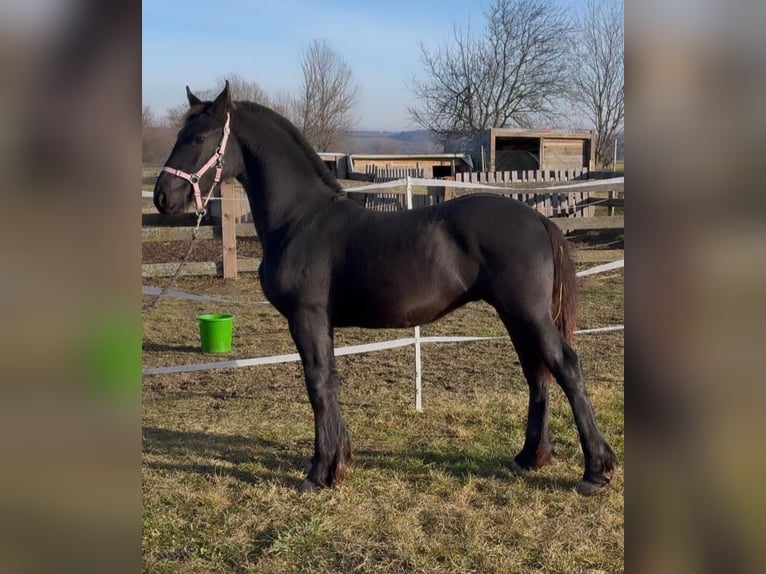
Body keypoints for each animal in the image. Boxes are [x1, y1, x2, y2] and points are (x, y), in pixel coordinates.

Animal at [153, 82, 617, 495]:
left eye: (198, 138)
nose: (162, 197)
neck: (301, 220)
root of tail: (537, 218)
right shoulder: (321, 323)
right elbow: (330, 381)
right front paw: (337, 464)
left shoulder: (307, 318)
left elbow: (317, 385)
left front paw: (319, 474)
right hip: (515, 315)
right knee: (537, 374)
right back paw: (529, 458)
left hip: (527, 313)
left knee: (565, 367)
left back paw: (595, 471)